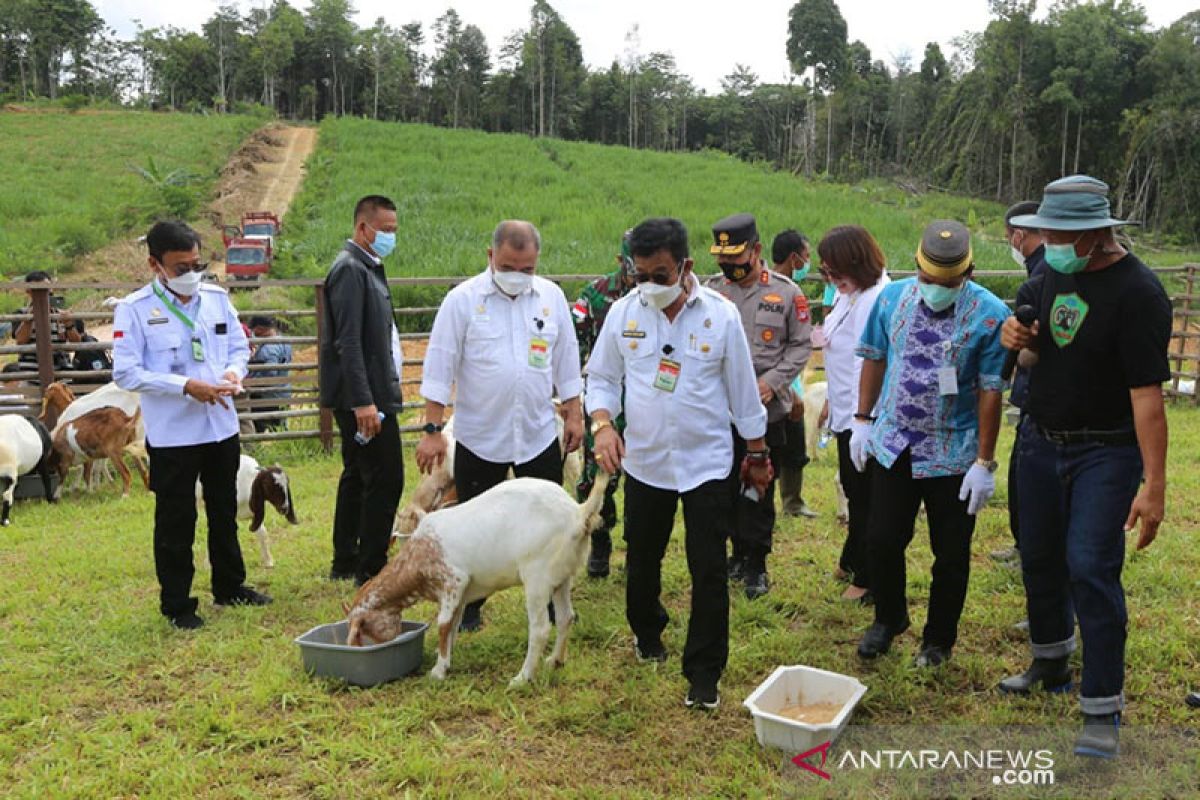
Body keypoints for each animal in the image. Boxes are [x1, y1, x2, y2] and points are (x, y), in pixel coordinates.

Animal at [348, 470, 609, 690]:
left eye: (364, 628)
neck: (417, 558)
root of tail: (577, 513)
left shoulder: (454, 580)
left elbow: (443, 625)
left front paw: (437, 672)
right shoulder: (460, 595)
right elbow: (452, 626)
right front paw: (445, 660)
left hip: (537, 576)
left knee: (541, 629)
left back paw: (522, 678)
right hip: (562, 576)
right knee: (566, 618)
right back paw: (555, 660)